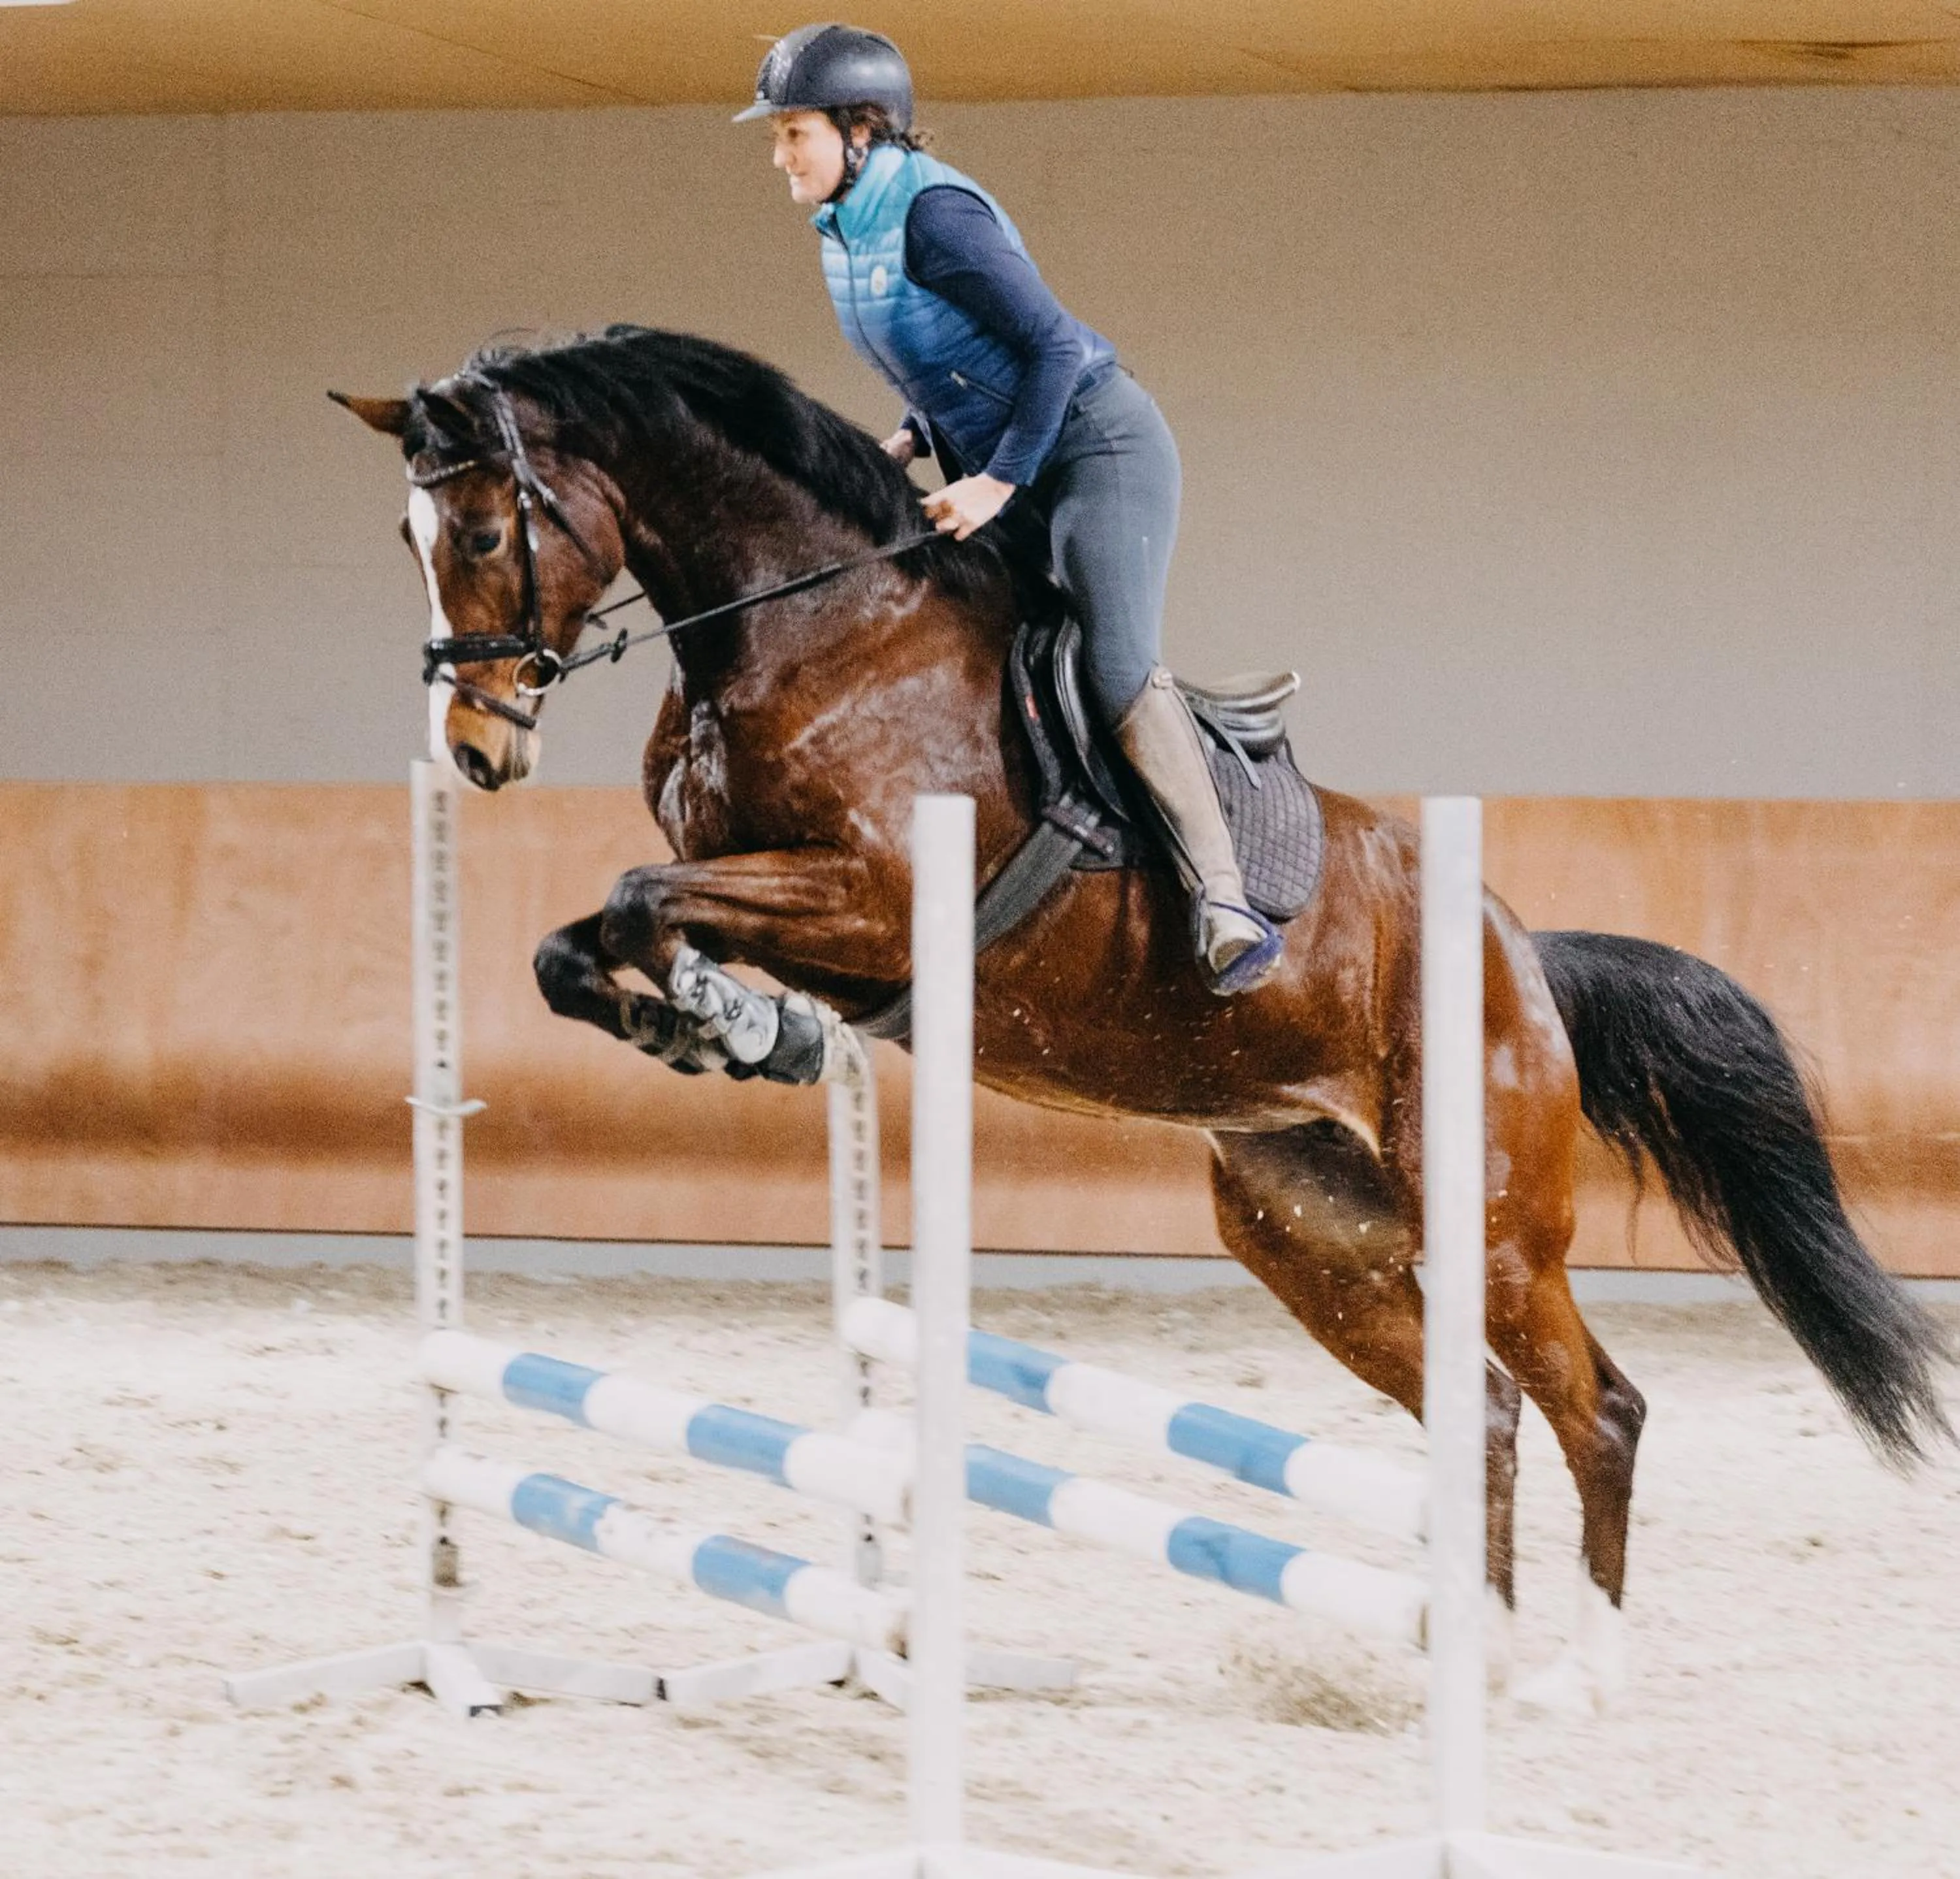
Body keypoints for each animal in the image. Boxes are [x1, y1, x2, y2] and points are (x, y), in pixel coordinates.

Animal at [336, 324, 1949, 1712]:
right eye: (407, 542)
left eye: (480, 536)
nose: (472, 750)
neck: (812, 629)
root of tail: (1528, 959)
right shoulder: (790, 907)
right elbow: (586, 941)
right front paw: (734, 1030)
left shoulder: (874, 901)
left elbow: (634, 900)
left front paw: (731, 1026)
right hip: (1313, 1235)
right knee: (1482, 1413)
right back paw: (1474, 1655)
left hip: (1490, 1226)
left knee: (1596, 1408)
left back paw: (1578, 1675)